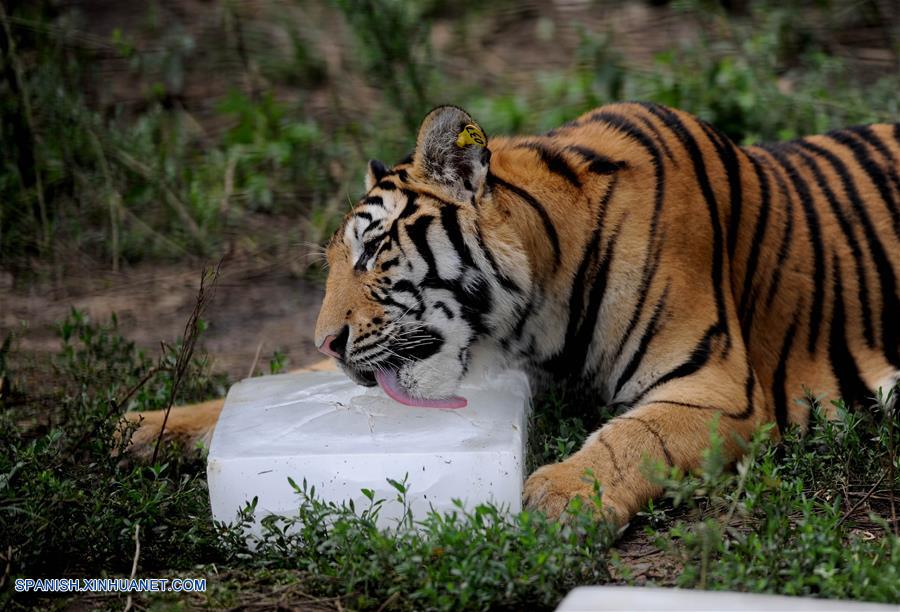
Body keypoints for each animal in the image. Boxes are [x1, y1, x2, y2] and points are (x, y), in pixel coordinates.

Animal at [125, 102, 900, 525]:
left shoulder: (719, 389)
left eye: (373, 250)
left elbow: (635, 436)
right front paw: (148, 427)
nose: (328, 339)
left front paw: (560, 495)